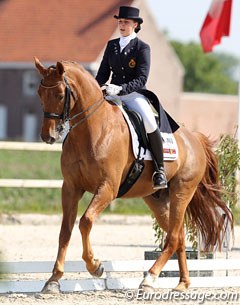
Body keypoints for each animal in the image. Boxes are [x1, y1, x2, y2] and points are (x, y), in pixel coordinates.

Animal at [34, 57, 232, 292]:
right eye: (39, 93)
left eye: (60, 94)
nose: (48, 136)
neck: (93, 130)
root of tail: (194, 138)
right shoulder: (71, 187)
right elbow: (65, 230)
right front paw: (53, 279)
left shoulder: (107, 188)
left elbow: (85, 221)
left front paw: (95, 266)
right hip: (157, 199)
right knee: (179, 237)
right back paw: (182, 283)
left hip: (182, 191)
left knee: (173, 237)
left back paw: (149, 279)